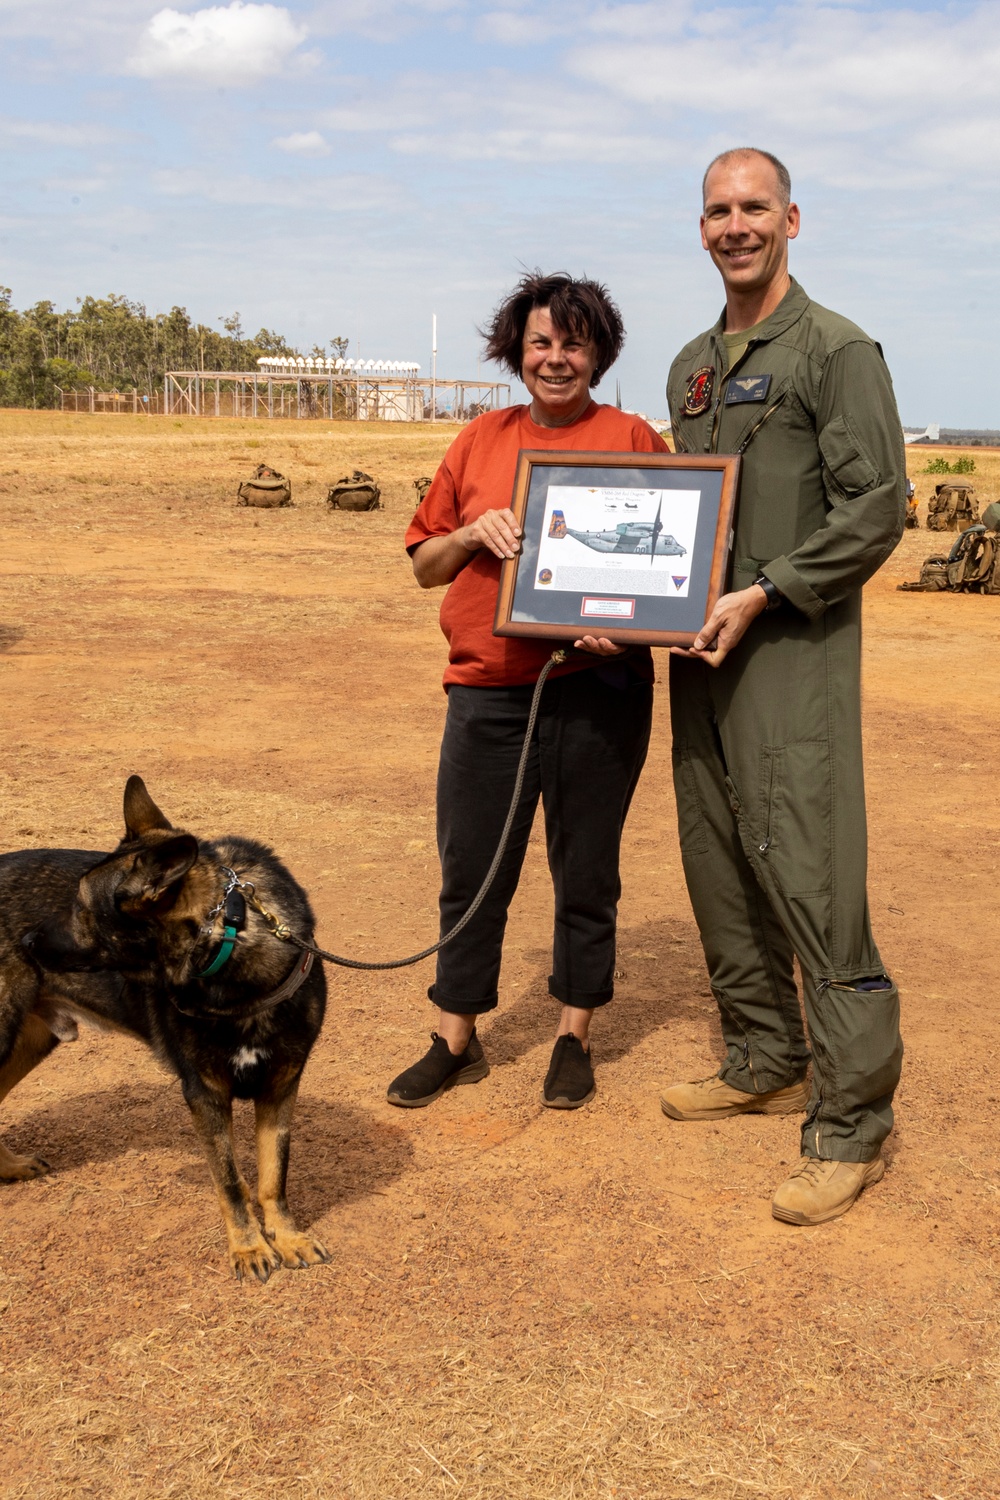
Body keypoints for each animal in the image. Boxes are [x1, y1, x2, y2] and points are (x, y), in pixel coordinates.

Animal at [1, 780, 334, 1284]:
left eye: (81, 908)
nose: (27, 942)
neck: (228, 943)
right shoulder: (204, 1094)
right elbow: (231, 1181)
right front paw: (248, 1246)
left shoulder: (280, 1087)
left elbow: (274, 1175)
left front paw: (288, 1236)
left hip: (29, 1042)